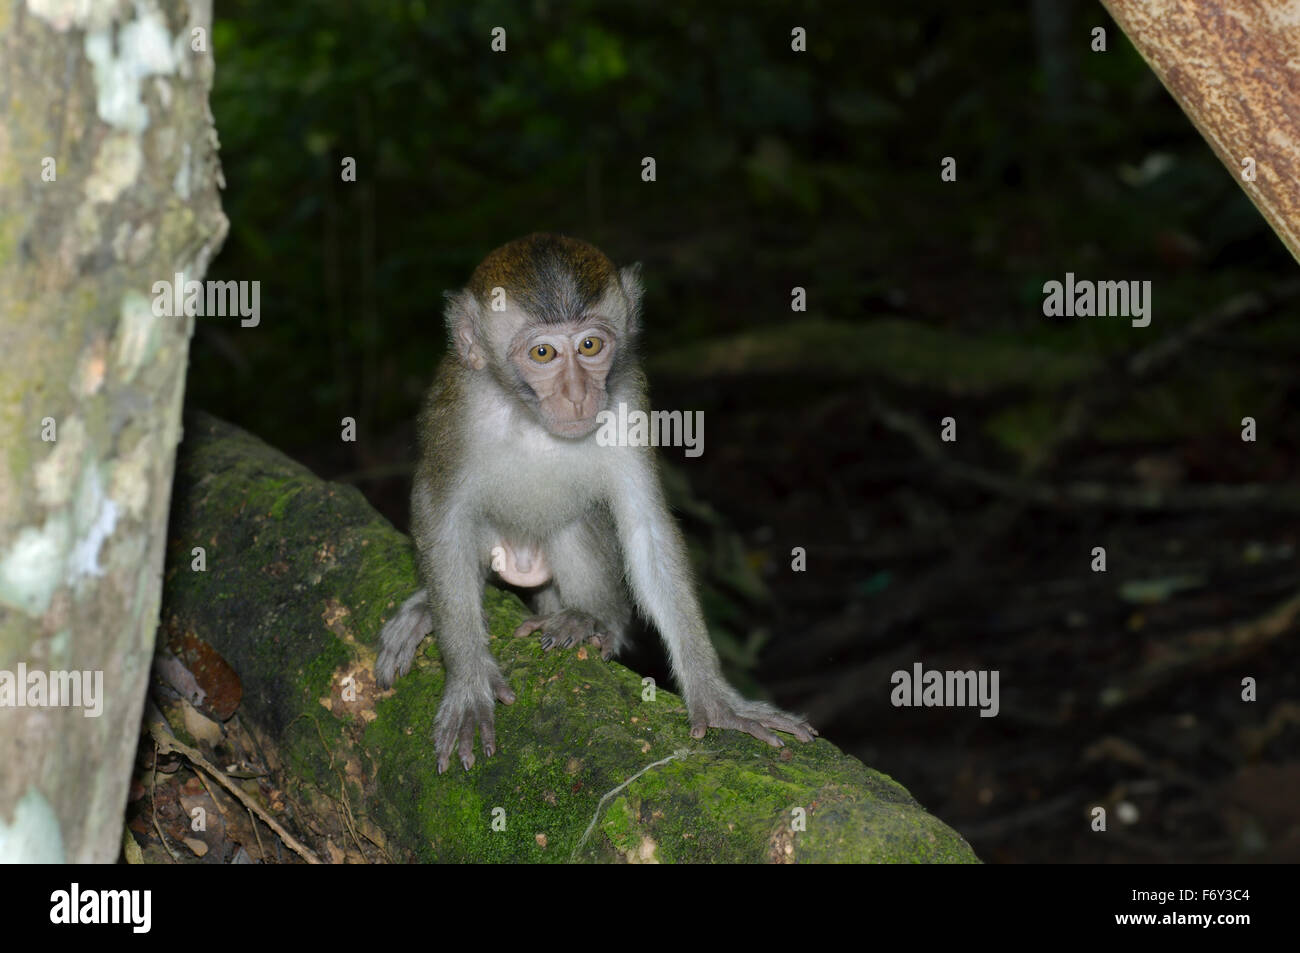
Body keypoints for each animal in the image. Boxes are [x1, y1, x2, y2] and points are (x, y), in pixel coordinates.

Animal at [376, 233, 816, 772]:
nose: (577, 394)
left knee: (578, 523)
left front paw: (716, 699)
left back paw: (591, 618)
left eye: (589, 346)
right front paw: (468, 681)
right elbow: (441, 515)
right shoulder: (457, 413)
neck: (531, 419)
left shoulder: (627, 401)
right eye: (543, 352)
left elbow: (645, 528)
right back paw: (425, 609)